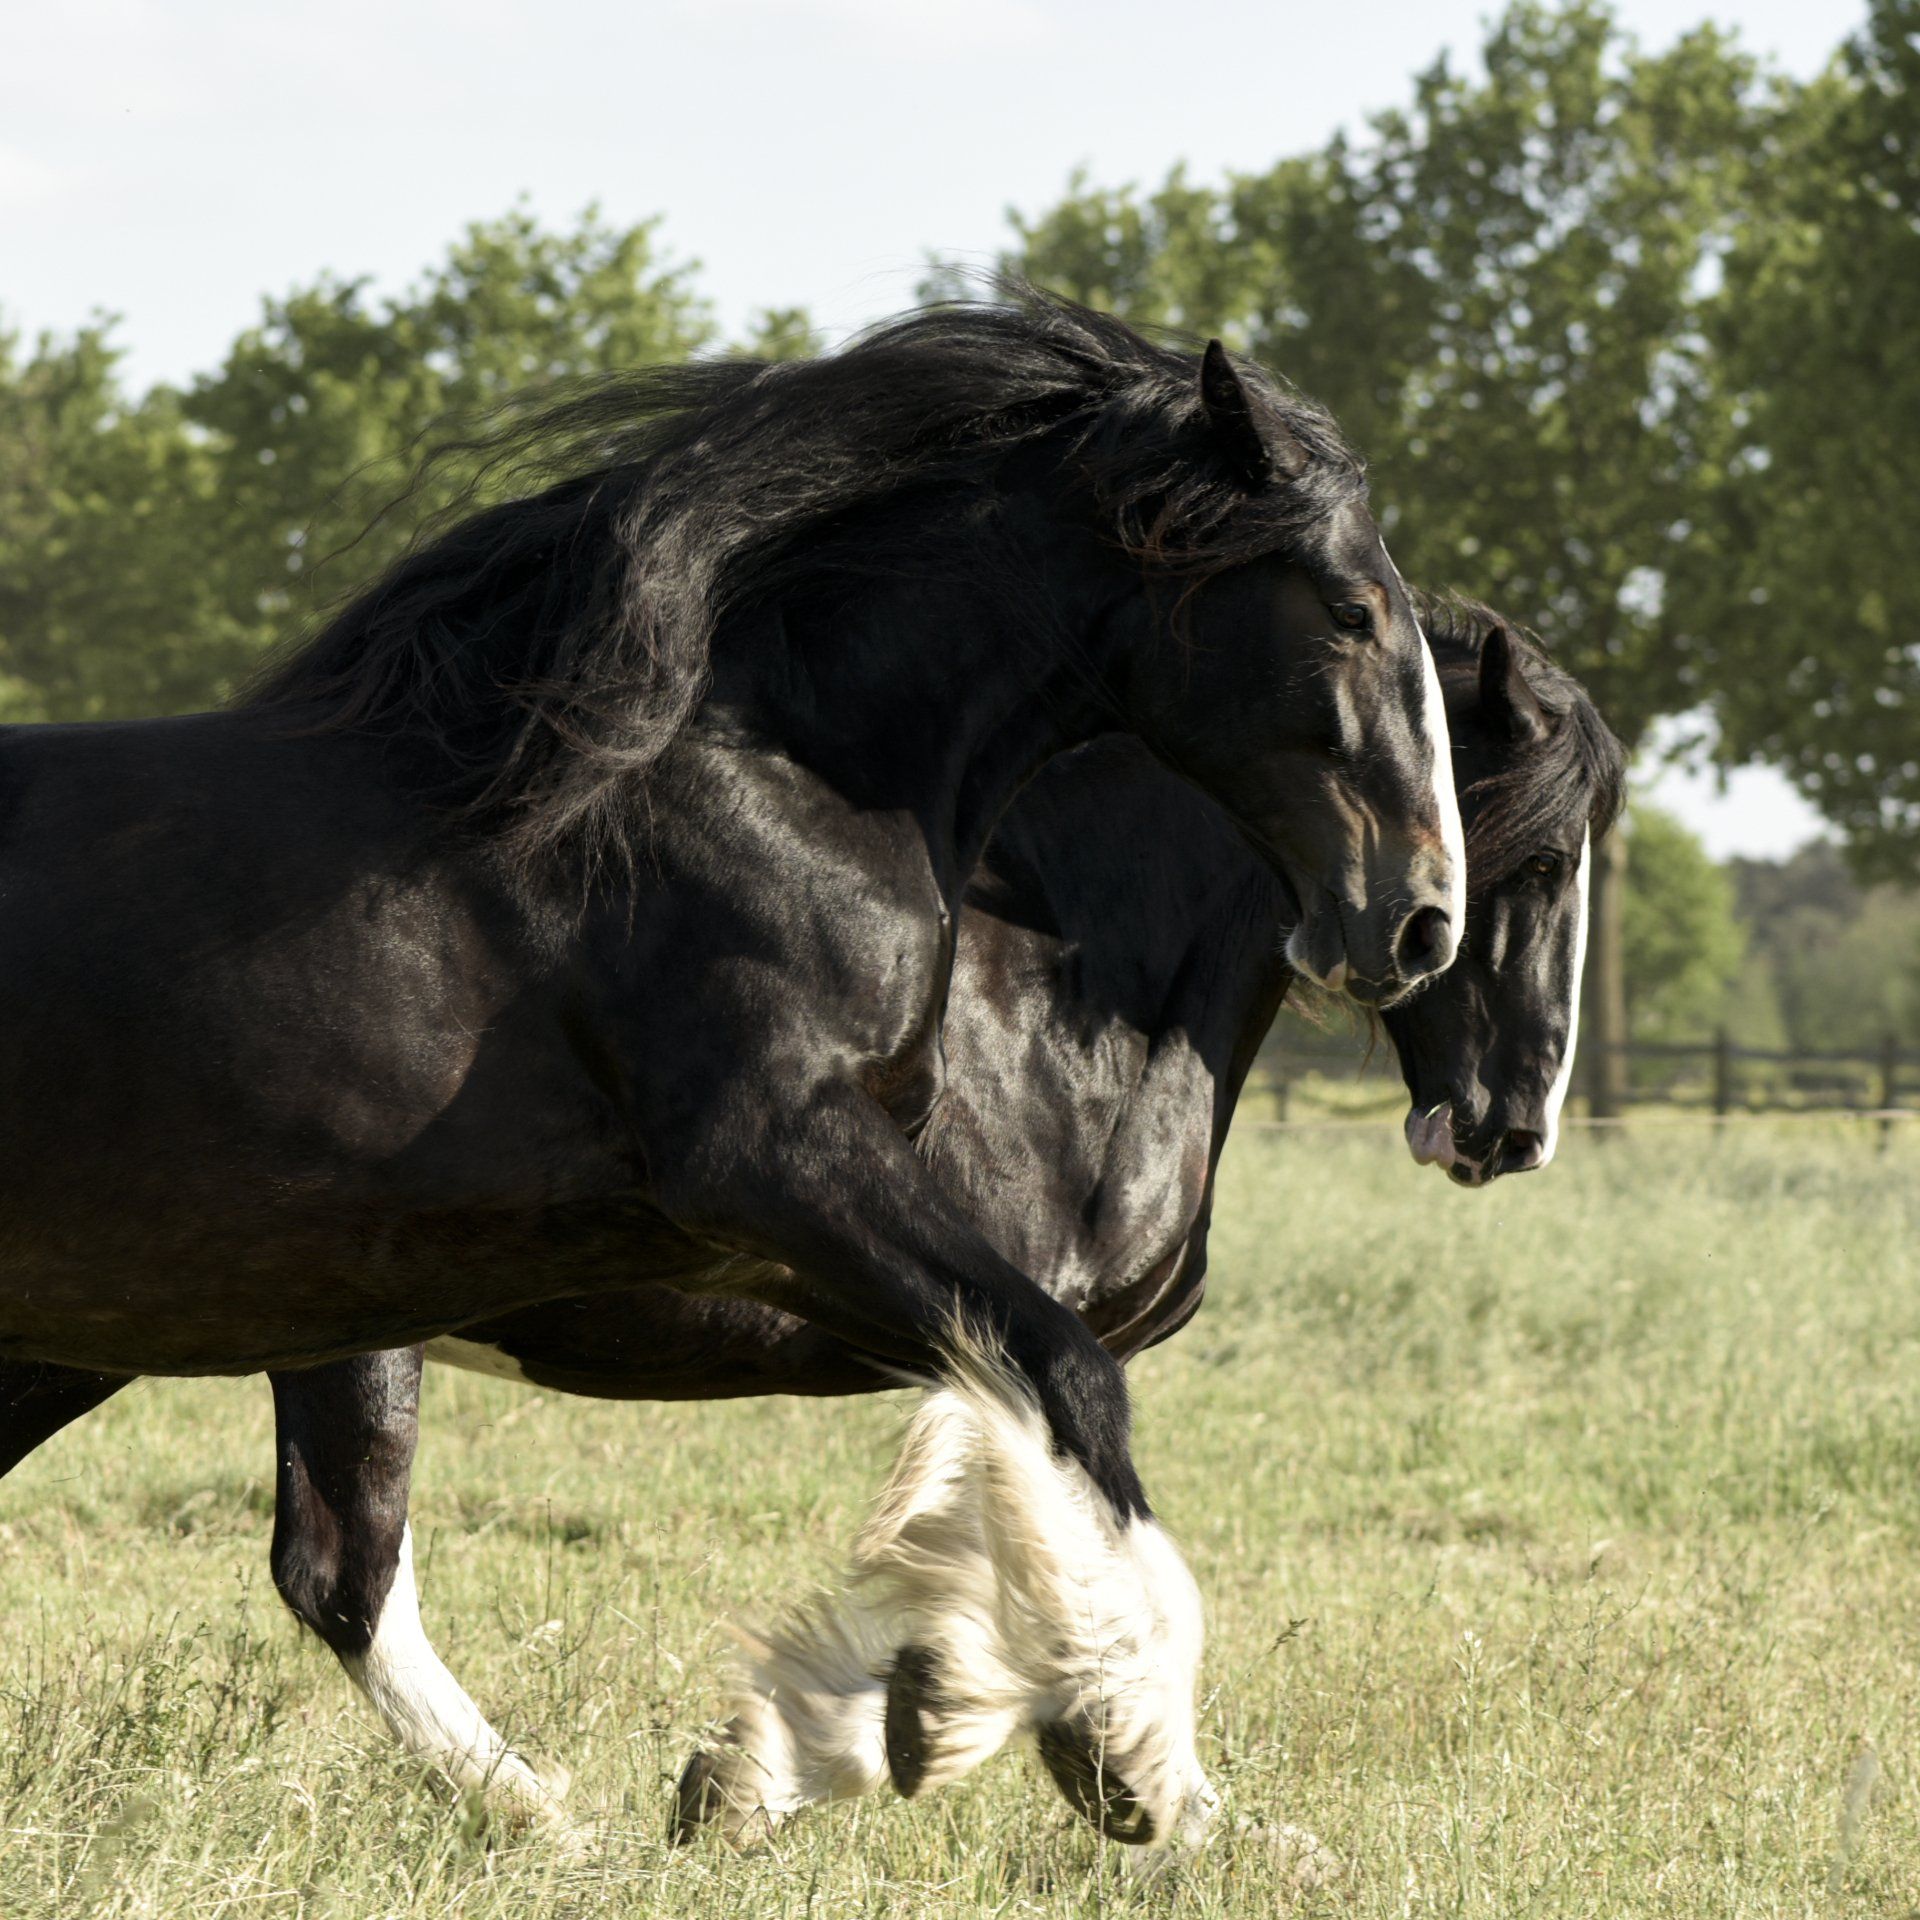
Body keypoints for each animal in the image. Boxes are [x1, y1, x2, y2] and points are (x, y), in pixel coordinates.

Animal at [0, 290, 1465, 1848]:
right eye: (1352, 606)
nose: (1419, 918)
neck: (769, 782)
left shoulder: (771, 1242)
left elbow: (995, 1421)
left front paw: (860, 1738)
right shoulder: (774, 1162)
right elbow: (1067, 1385)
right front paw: (1139, 1768)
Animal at [185, 595, 1617, 1845]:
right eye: (1540, 856)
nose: (1515, 1126)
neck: (1068, 1001)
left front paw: (772, 1767)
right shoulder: (998, 1319)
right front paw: (1132, 1782)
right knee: (348, 1576)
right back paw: (550, 1821)